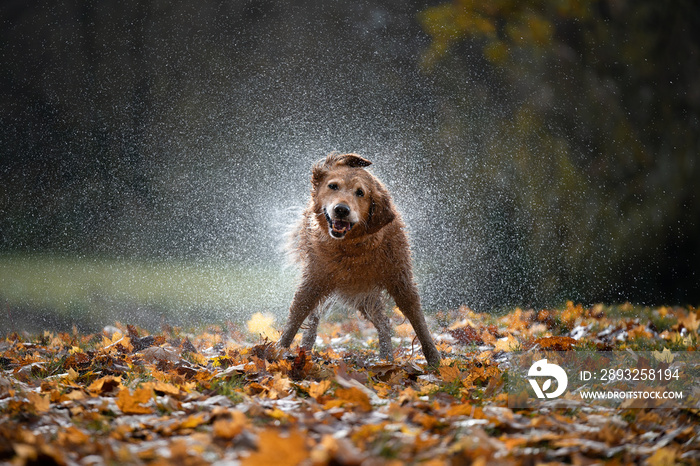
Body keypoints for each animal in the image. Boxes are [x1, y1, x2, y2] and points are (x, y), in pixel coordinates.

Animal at [276, 151, 440, 366]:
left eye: (360, 193)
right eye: (333, 186)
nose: (341, 209)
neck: (351, 248)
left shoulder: (400, 279)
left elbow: (418, 321)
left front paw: (435, 360)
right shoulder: (314, 279)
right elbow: (295, 318)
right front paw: (277, 352)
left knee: (383, 321)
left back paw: (385, 357)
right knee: (315, 318)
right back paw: (307, 349)